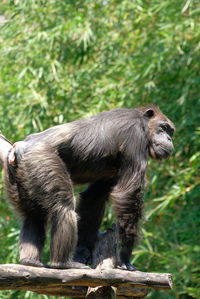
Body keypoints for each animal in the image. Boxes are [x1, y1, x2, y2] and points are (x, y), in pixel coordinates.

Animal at [3, 105, 175, 270]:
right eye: (163, 127)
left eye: (170, 132)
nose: (168, 138)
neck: (144, 125)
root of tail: (17, 148)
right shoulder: (135, 137)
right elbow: (128, 194)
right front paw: (125, 256)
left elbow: (93, 198)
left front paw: (82, 250)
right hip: (41, 159)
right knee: (63, 207)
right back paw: (62, 262)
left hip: (17, 176)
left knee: (32, 215)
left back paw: (30, 260)